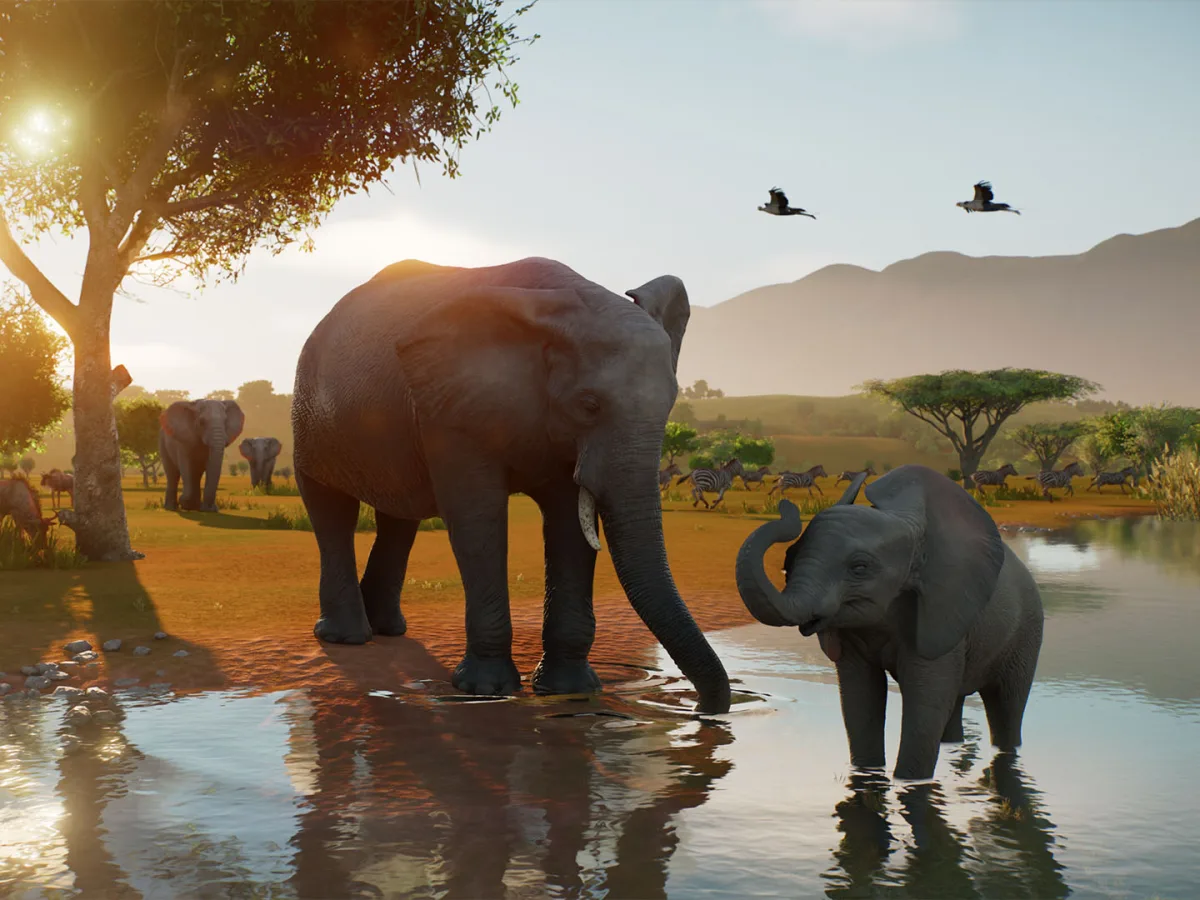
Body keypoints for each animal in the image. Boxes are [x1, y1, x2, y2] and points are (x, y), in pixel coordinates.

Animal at [291, 256, 731, 713]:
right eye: (589, 405)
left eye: (670, 405)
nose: (698, 707)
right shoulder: (452, 411)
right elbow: (478, 518)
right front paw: (485, 690)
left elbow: (569, 527)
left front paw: (569, 690)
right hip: (312, 417)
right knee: (331, 511)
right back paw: (347, 638)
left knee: (399, 520)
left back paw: (388, 629)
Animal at [734, 464, 1044, 780]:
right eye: (790, 558)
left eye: (859, 567)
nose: (787, 507)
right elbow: (860, 696)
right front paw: (867, 773)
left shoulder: (939, 615)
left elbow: (925, 702)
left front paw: (909, 782)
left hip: (1027, 631)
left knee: (1006, 704)